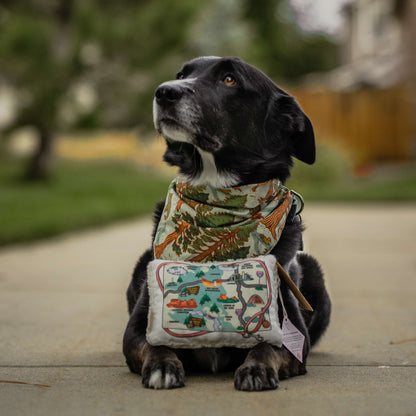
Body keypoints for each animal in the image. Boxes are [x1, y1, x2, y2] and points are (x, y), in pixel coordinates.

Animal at [122, 55, 330, 390]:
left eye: (230, 79)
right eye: (181, 74)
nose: (164, 91)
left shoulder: (295, 339)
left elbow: (266, 345)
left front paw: (256, 369)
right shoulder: (135, 331)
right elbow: (155, 343)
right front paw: (163, 366)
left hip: (314, 275)